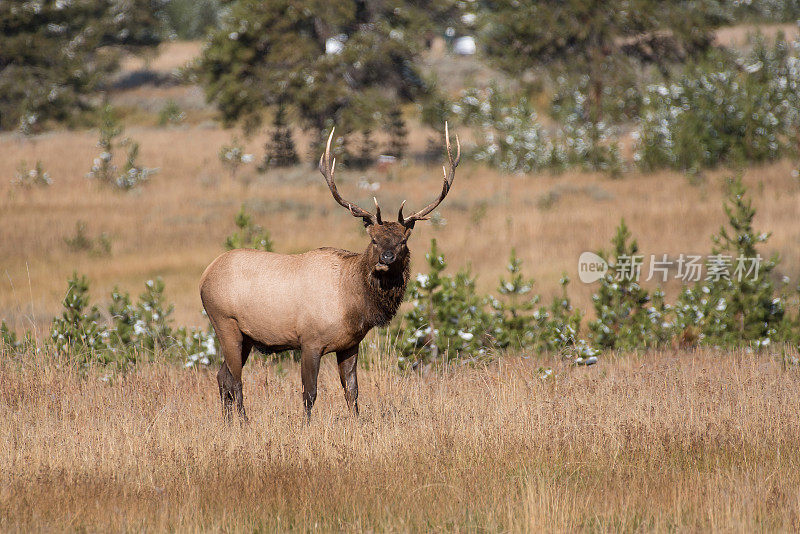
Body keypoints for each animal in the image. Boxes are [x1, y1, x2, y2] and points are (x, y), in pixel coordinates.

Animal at [200, 123, 460, 420]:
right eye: (374, 240)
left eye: (402, 241)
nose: (386, 258)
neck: (353, 304)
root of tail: (205, 275)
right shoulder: (309, 340)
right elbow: (310, 393)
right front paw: (305, 425)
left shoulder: (350, 344)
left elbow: (352, 391)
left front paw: (357, 423)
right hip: (225, 322)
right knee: (235, 379)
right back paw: (243, 422)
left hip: (246, 337)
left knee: (222, 376)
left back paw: (228, 422)